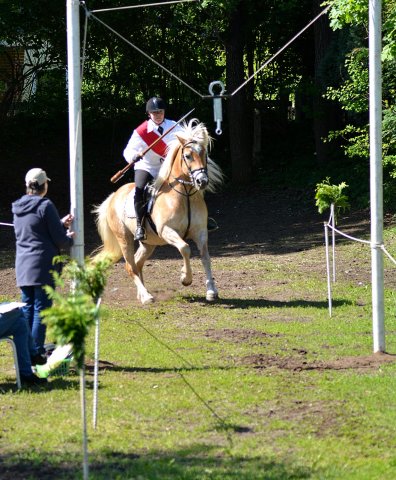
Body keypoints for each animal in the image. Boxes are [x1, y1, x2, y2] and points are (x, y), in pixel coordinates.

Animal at [92, 119, 223, 304]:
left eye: (204, 154)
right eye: (188, 156)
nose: (202, 181)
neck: (184, 196)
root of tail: (113, 197)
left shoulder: (201, 232)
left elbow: (206, 257)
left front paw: (211, 290)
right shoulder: (167, 231)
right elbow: (185, 248)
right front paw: (185, 278)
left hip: (149, 243)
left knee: (138, 263)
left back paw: (143, 293)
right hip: (124, 238)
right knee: (130, 266)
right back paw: (146, 296)